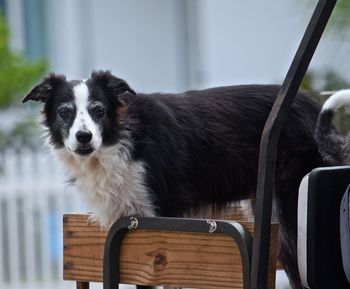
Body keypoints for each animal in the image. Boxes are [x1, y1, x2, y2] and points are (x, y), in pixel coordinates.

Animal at [23, 70, 326, 288]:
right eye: (64, 112)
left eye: (99, 110)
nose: (83, 137)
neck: (122, 141)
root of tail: (312, 105)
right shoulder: (134, 231)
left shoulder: (165, 222)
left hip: (291, 216)